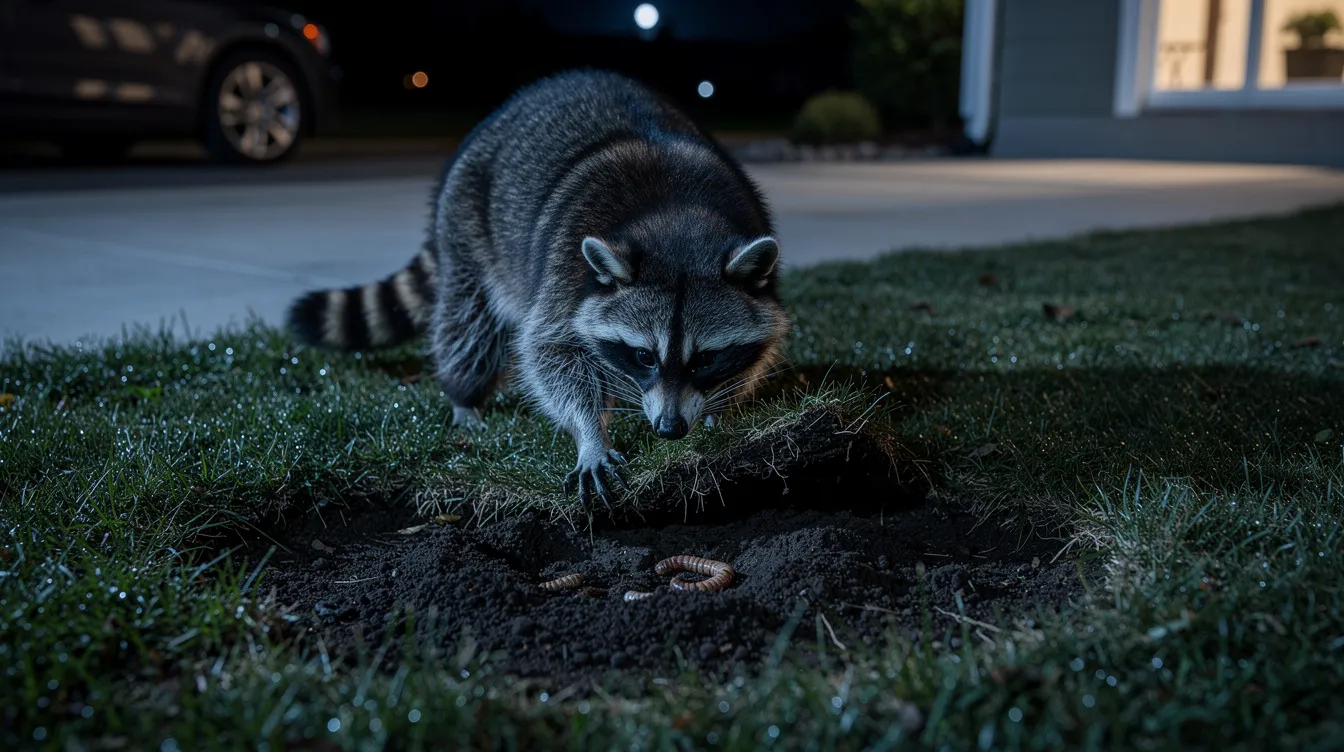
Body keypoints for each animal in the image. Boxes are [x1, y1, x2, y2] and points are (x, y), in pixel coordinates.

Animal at [287, 69, 790, 510]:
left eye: (705, 358)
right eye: (644, 356)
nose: (669, 428)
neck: (677, 218)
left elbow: (759, 345)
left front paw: (717, 404)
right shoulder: (565, 268)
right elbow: (550, 351)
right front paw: (590, 432)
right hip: (468, 224)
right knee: (468, 323)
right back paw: (465, 395)